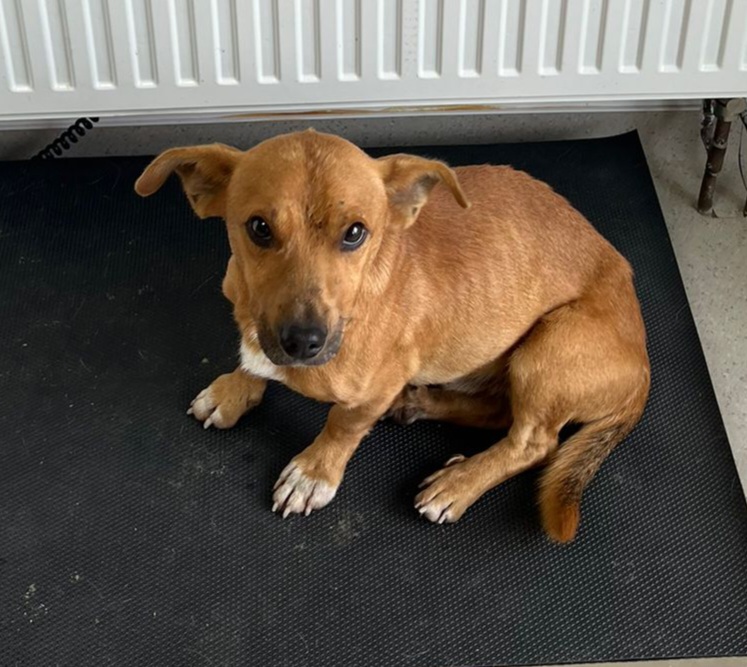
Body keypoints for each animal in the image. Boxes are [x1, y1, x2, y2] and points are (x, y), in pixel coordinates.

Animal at [137, 130, 652, 544]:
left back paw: (459, 482)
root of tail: (643, 370)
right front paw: (236, 387)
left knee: (533, 442)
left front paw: (314, 472)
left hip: (547, 348)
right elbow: (253, 359)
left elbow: (341, 426)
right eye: (259, 228)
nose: (303, 341)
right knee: (498, 411)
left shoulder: (369, 393)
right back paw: (419, 403)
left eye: (355, 233)